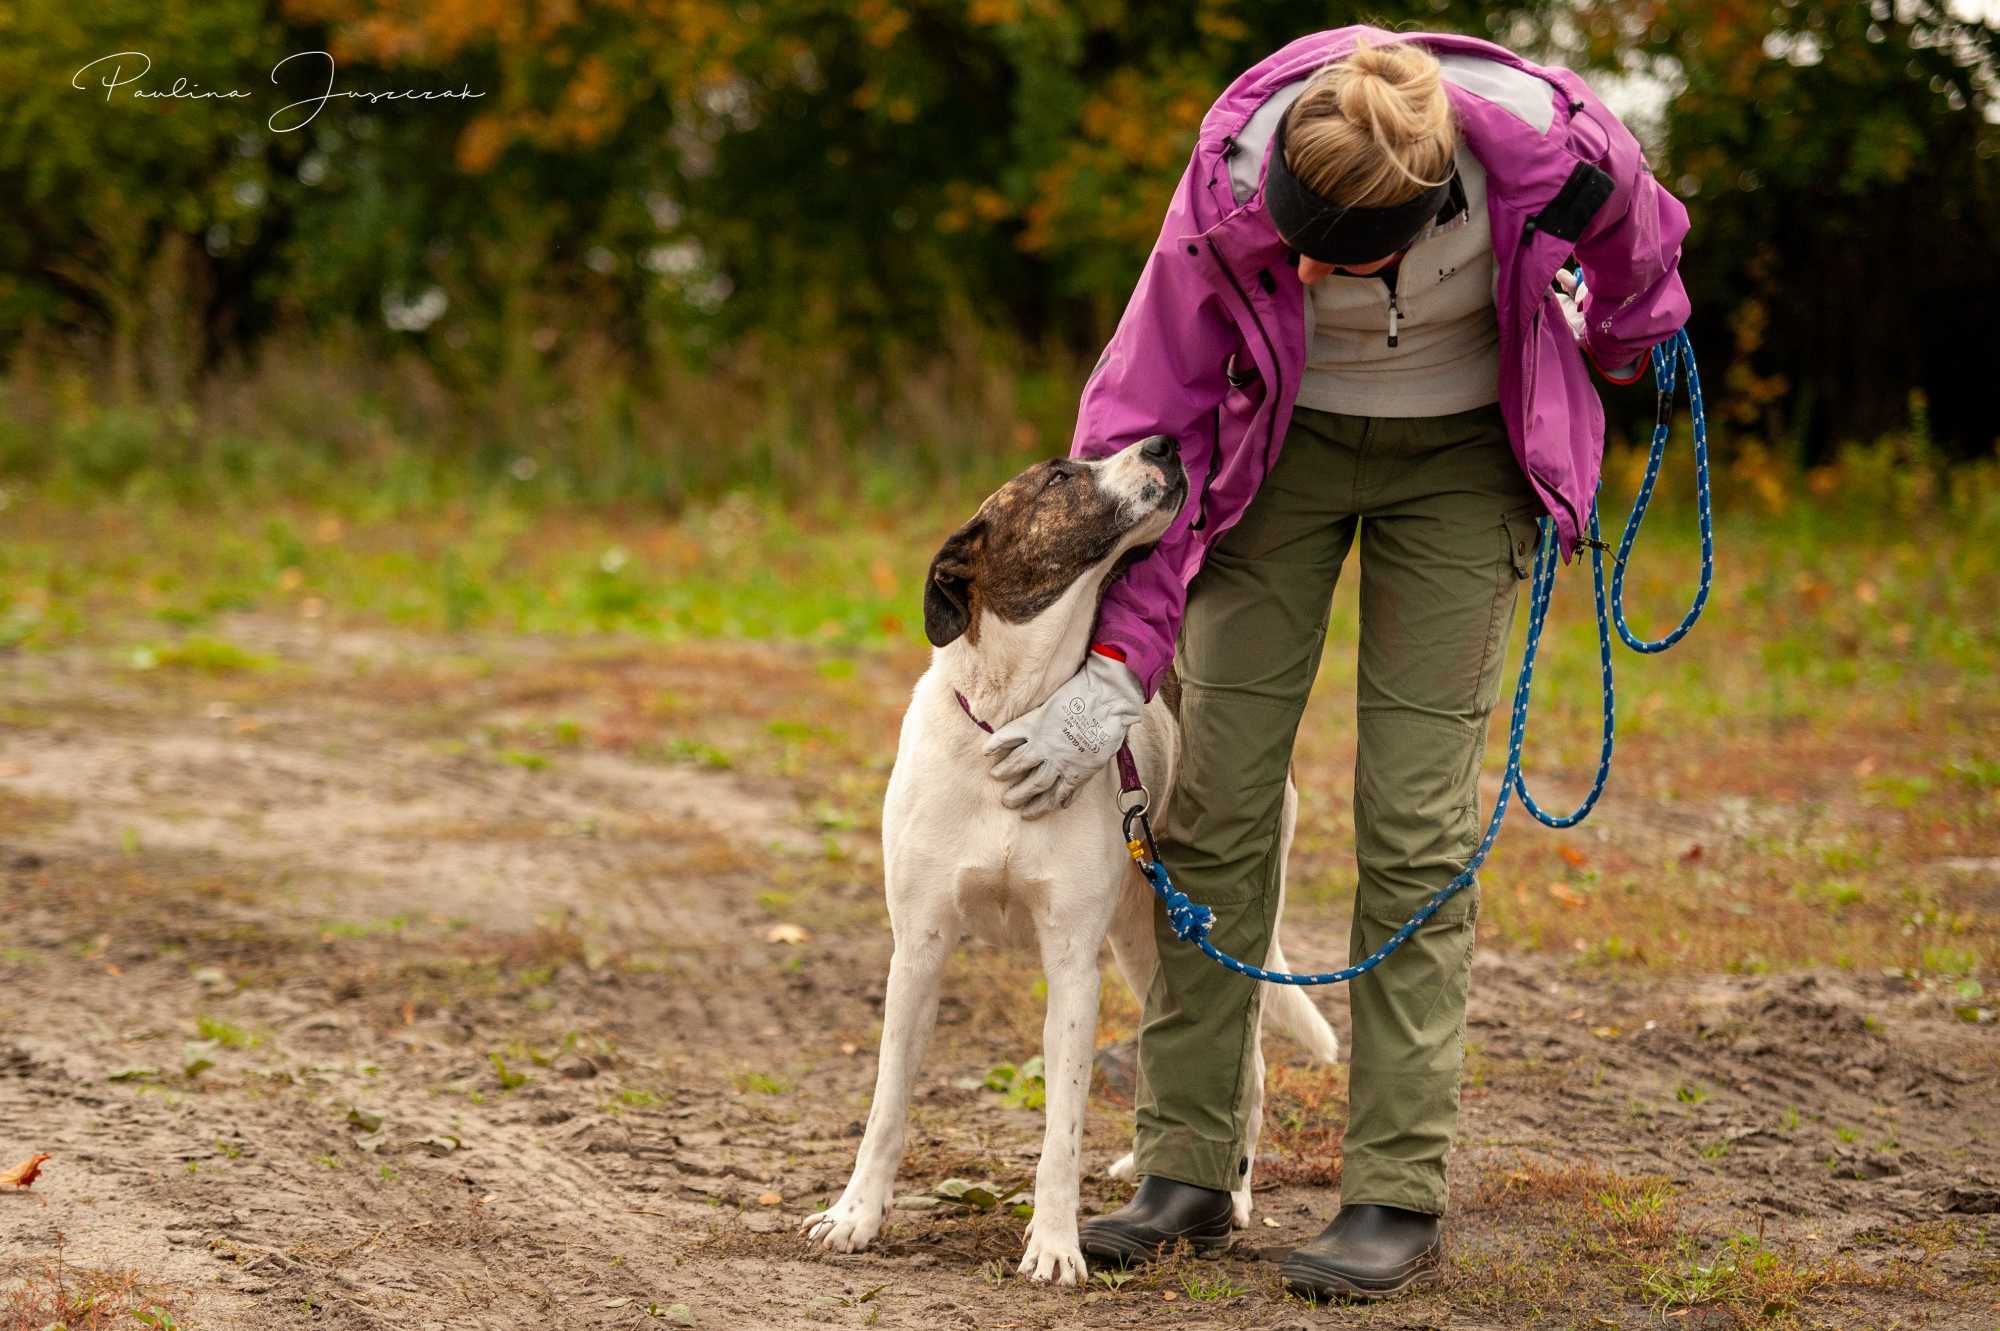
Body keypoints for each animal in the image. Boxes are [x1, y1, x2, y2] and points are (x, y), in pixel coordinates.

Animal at [800, 433, 1344, 1279]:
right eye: (1060, 476)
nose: (1166, 443)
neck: (1011, 717)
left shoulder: (1070, 962)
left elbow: (1063, 1127)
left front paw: (1055, 1243)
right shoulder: (918, 945)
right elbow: (888, 1103)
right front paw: (855, 1215)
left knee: (1248, 1068)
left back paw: (1235, 1194)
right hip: (1141, 945)